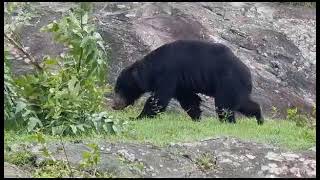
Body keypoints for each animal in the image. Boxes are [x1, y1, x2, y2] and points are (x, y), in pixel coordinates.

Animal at [111, 39, 264, 124]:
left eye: (119, 89)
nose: (114, 105)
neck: (152, 69)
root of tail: (248, 73)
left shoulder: (169, 74)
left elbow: (159, 99)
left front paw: (137, 117)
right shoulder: (181, 83)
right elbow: (189, 100)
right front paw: (197, 117)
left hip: (228, 82)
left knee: (224, 105)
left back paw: (229, 122)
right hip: (235, 86)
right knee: (243, 103)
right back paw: (259, 118)